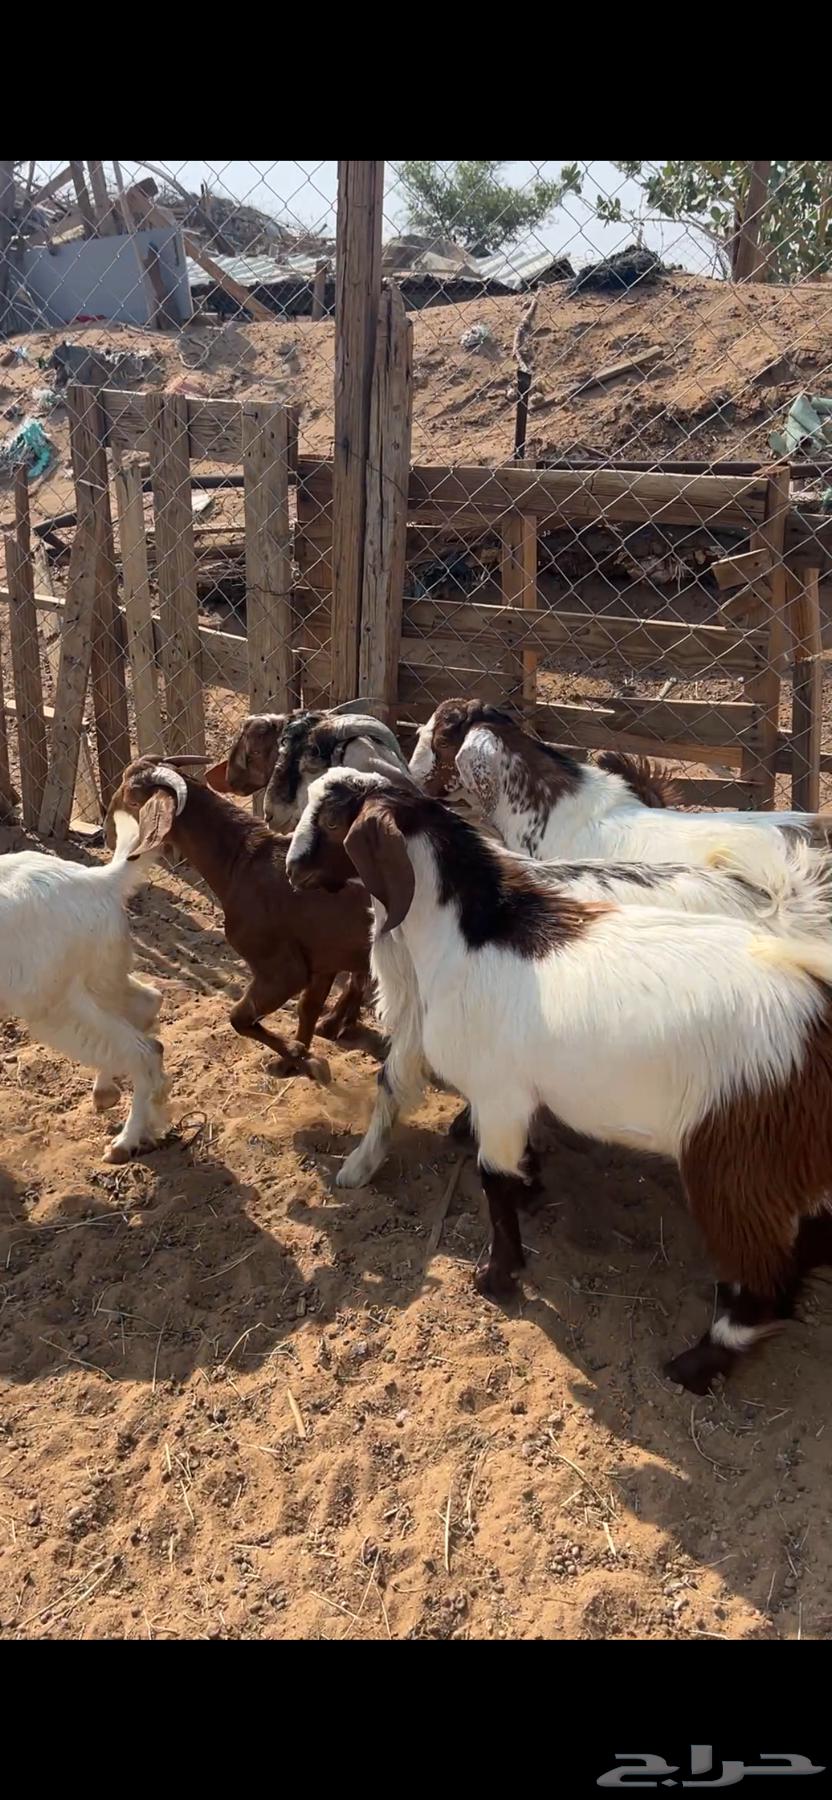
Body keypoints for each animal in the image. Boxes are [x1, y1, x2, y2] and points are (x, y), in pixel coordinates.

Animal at [0, 789, 174, 1162]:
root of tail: (98, 881)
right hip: (101, 976)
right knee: (149, 1003)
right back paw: (110, 1099)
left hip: (56, 1005)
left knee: (145, 1050)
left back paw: (125, 1143)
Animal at [106, 757, 371, 1082]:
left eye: (133, 799)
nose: (107, 834)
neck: (241, 863)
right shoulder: (323, 960)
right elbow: (307, 1009)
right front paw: (296, 1061)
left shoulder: (281, 970)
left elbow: (239, 1018)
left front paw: (300, 1055)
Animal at [286, 765, 832, 1393]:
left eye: (333, 820)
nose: (292, 869)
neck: (475, 935)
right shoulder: (518, 1096)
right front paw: (530, 1192)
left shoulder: (498, 1093)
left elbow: (492, 1179)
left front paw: (497, 1276)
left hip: (736, 1165)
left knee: (763, 1276)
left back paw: (696, 1363)